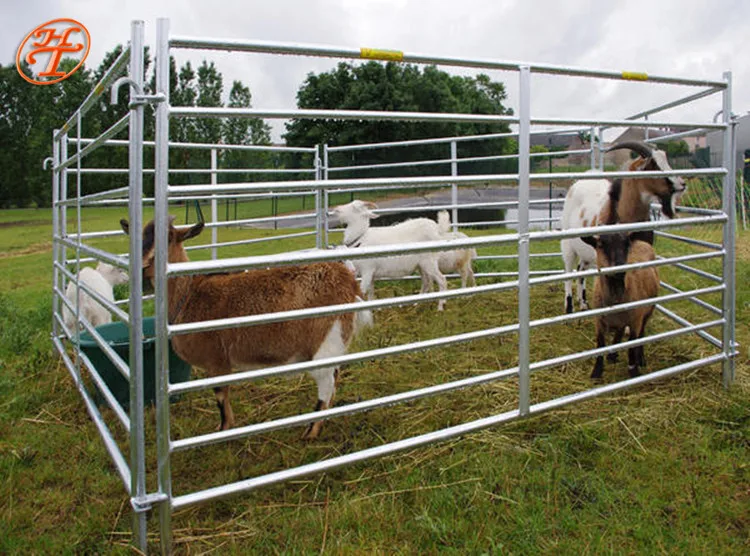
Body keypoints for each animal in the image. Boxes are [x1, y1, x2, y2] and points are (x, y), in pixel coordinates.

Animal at [120, 216, 372, 438]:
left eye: (169, 238)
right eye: (138, 237)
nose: (141, 268)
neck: (190, 295)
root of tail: (348, 283)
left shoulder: (216, 360)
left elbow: (220, 395)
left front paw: (224, 428)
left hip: (326, 341)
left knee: (327, 383)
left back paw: (311, 431)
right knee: (335, 378)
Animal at [560, 141, 685, 313]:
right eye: (653, 165)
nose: (682, 184)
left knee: (580, 269)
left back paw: (584, 303)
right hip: (567, 244)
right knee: (567, 272)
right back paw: (569, 308)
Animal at [581, 231, 659, 379]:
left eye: (626, 244)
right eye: (600, 244)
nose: (620, 269)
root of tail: (642, 242)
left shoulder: (636, 320)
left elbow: (632, 346)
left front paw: (633, 370)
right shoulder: (598, 320)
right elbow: (600, 344)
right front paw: (597, 372)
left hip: (648, 311)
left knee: (641, 335)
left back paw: (641, 359)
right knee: (620, 330)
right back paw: (612, 355)